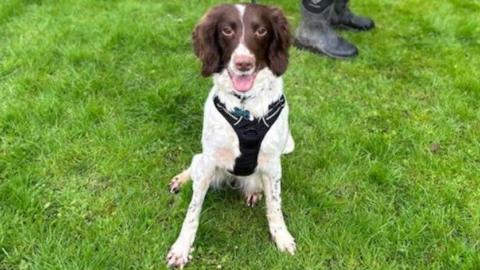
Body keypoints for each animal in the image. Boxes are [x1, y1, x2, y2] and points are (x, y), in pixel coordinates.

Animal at [169, 3, 296, 268]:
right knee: (194, 165)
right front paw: (181, 248)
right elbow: (193, 211)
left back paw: (253, 194)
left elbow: (275, 206)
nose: (243, 64)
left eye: (261, 31)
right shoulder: (209, 160)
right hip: (204, 162)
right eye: (227, 30)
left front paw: (282, 237)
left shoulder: (272, 165)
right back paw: (181, 179)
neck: (245, 107)